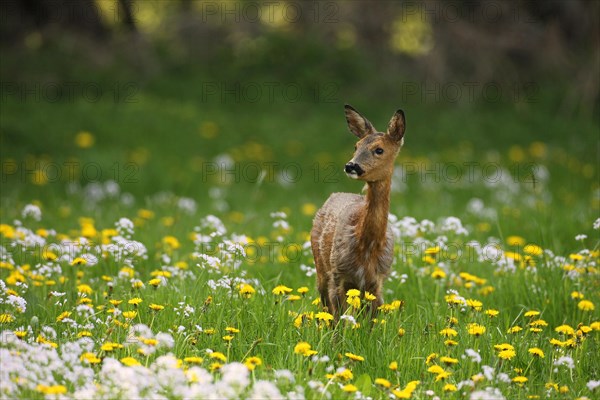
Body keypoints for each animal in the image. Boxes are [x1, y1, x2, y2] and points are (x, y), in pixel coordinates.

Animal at [312, 104, 406, 320]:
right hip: (321, 267)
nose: (351, 165)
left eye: (379, 149)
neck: (368, 247)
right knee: (326, 308)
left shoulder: (377, 282)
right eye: (356, 146)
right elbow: (338, 321)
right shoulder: (338, 275)